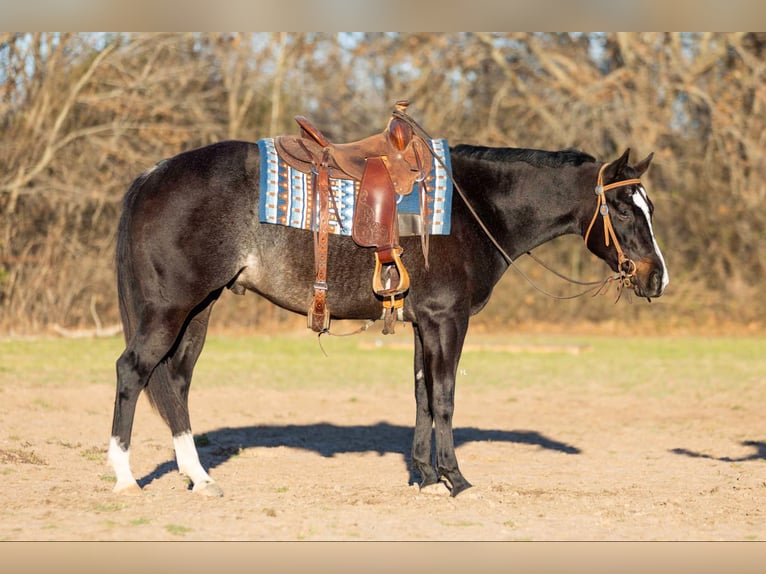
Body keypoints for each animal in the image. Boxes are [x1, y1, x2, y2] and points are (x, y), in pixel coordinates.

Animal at [109, 129, 672, 496]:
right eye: (625, 209)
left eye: (647, 207)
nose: (657, 277)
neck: (475, 208)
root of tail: (151, 175)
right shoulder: (448, 319)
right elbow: (444, 398)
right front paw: (455, 479)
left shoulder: (424, 323)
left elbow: (422, 397)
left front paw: (424, 475)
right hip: (169, 309)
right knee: (132, 371)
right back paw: (124, 477)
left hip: (199, 310)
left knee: (176, 381)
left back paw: (199, 477)